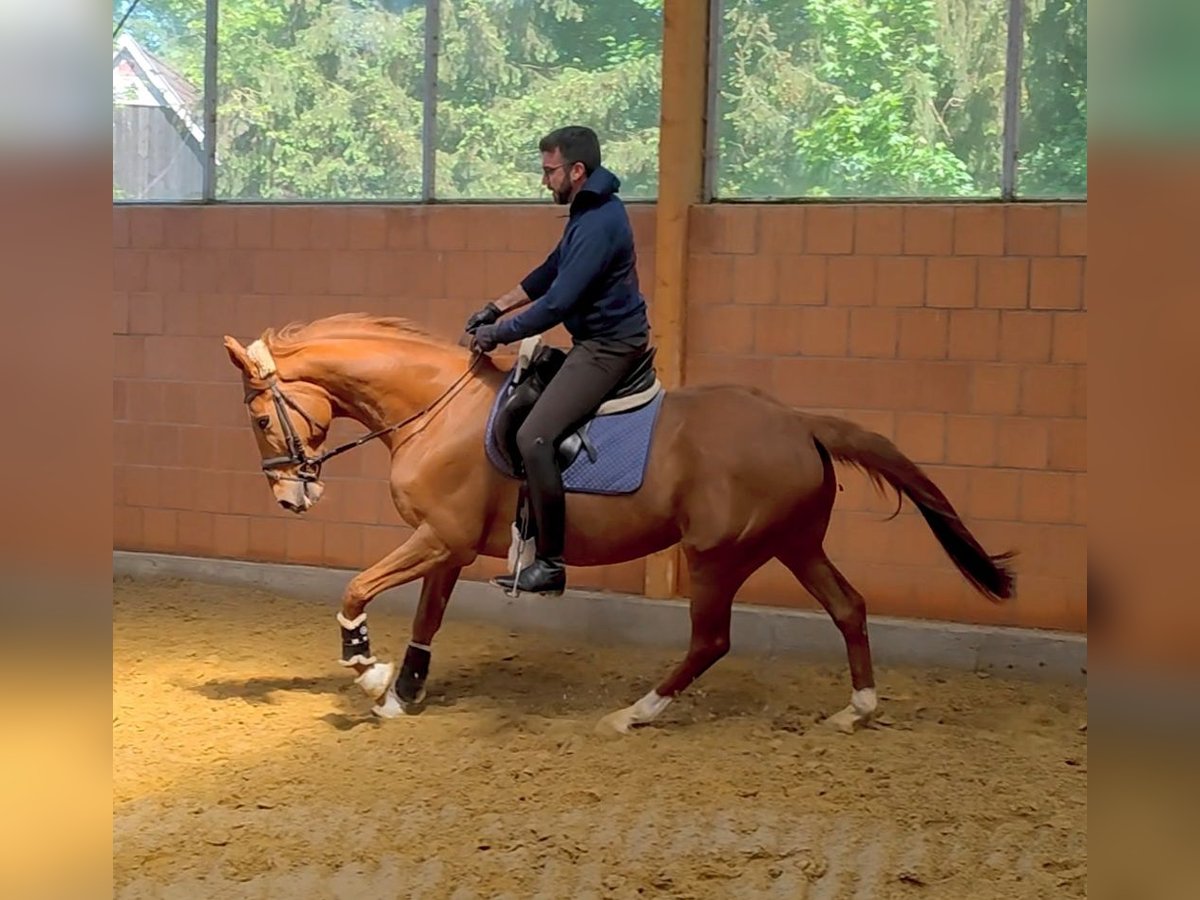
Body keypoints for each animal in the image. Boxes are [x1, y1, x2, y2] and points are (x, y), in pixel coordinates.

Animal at [223, 314, 1012, 734]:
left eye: (260, 418)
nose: (291, 499)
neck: (437, 409)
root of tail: (797, 422)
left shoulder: (436, 538)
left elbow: (357, 589)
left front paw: (367, 672)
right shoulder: (447, 547)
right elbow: (428, 617)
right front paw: (402, 692)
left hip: (719, 555)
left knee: (711, 641)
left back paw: (637, 713)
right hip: (792, 543)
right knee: (848, 607)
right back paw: (858, 709)